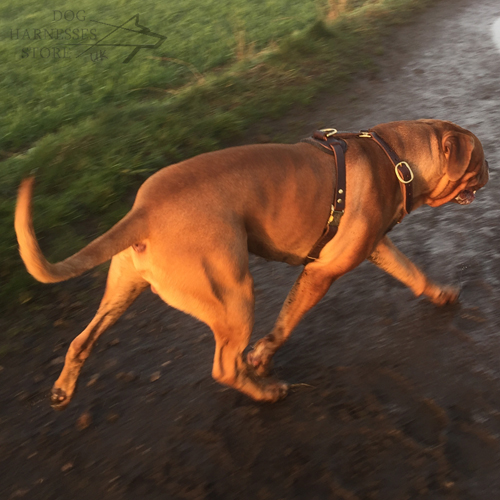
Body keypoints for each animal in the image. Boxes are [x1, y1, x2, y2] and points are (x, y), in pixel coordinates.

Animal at [14, 119, 488, 408]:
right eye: (480, 160)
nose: (490, 173)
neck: (397, 159)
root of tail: (144, 210)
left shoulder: (377, 248)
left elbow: (413, 272)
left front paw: (441, 294)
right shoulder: (321, 272)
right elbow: (285, 321)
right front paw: (262, 356)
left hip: (123, 290)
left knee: (81, 339)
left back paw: (62, 390)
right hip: (233, 295)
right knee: (225, 366)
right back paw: (266, 391)